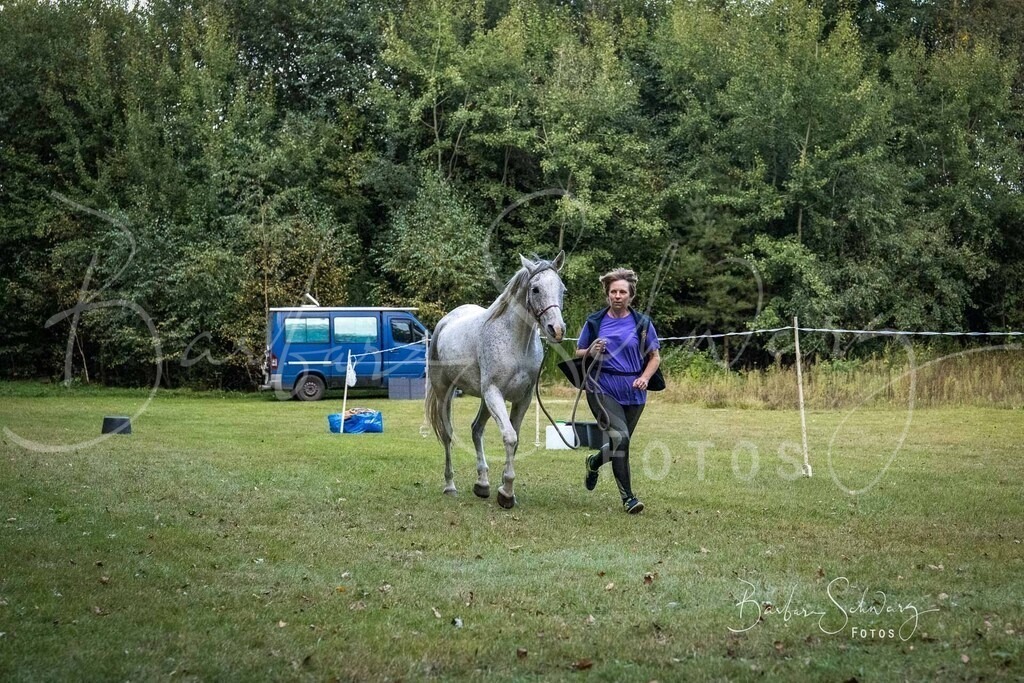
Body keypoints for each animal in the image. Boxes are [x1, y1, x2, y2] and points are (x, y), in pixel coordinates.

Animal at [425, 252, 567, 509]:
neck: (515, 341)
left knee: (476, 430)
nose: (557, 329)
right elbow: (509, 437)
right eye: (535, 289)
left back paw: (482, 483)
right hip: (445, 393)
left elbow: (515, 439)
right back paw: (450, 485)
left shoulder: (522, 399)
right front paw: (507, 492)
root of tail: (444, 322)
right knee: (448, 434)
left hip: (483, 400)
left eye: (562, 289)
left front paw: (503, 486)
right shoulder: (494, 393)